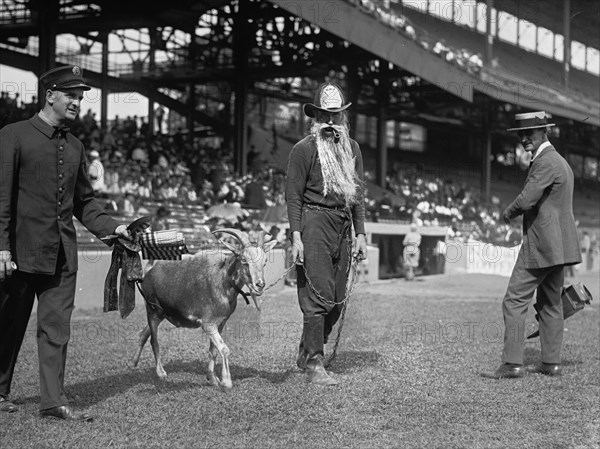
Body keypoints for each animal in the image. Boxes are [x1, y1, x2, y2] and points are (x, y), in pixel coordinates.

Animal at [132, 228, 278, 388]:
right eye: (243, 259)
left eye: (265, 261)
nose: (260, 285)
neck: (223, 281)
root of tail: (149, 270)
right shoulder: (208, 323)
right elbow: (224, 349)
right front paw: (226, 382)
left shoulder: (220, 322)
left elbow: (213, 351)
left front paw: (213, 379)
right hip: (152, 309)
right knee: (154, 341)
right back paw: (160, 372)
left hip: (161, 313)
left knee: (144, 333)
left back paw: (133, 363)